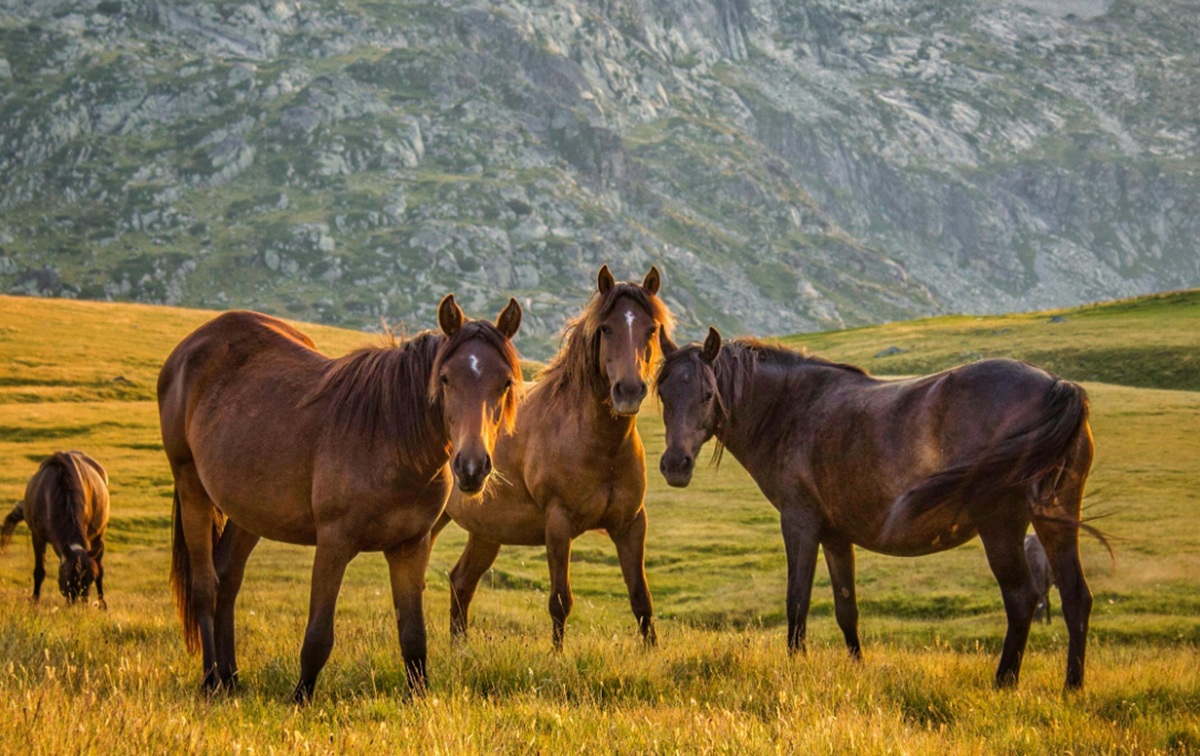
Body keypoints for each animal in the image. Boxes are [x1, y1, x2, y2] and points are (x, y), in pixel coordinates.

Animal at [1, 451, 110, 607]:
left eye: (91, 578)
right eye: (69, 576)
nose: (79, 605)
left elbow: (99, 571)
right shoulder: (37, 536)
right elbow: (40, 571)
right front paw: (35, 601)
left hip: (99, 533)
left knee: (100, 566)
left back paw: (102, 604)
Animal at [158, 295, 523, 702]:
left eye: (505, 382)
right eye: (445, 379)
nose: (472, 467)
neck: (388, 436)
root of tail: (190, 347)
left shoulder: (410, 546)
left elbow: (413, 635)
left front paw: (418, 696)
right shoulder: (334, 542)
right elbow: (318, 636)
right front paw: (300, 697)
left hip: (247, 511)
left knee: (228, 578)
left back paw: (230, 676)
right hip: (191, 484)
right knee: (205, 586)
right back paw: (211, 680)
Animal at [432, 265, 673, 649]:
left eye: (651, 329)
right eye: (606, 328)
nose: (629, 391)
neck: (598, 445)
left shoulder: (631, 524)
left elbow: (641, 598)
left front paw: (651, 653)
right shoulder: (559, 524)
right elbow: (560, 600)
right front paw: (557, 657)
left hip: (486, 533)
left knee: (461, 583)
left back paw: (460, 650)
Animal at [655, 327, 1102, 690]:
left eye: (708, 394)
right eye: (662, 394)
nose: (675, 465)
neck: (792, 410)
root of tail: (1056, 385)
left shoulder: (799, 525)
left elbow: (797, 601)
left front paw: (795, 665)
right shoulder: (836, 537)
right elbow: (846, 608)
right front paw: (857, 668)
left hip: (1001, 526)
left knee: (1022, 597)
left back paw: (1004, 681)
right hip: (1055, 521)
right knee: (1076, 597)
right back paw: (1072, 686)